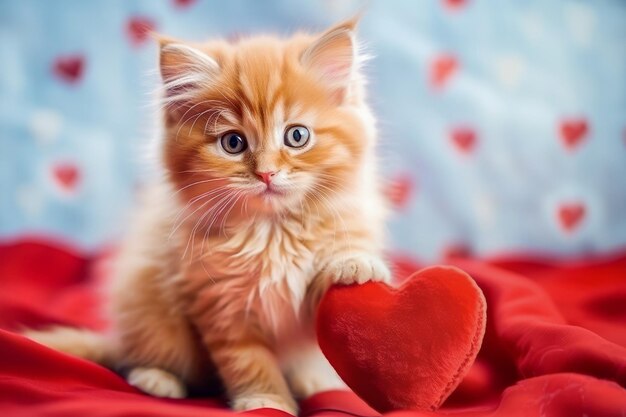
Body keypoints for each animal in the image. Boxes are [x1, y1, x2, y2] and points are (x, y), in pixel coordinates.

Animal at [29, 17, 390, 412]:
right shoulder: (219, 304)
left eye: (297, 136)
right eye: (233, 143)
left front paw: (354, 263)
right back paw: (157, 378)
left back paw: (312, 381)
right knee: (141, 355)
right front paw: (266, 400)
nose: (266, 173)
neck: (271, 232)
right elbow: (248, 360)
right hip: (149, 308)